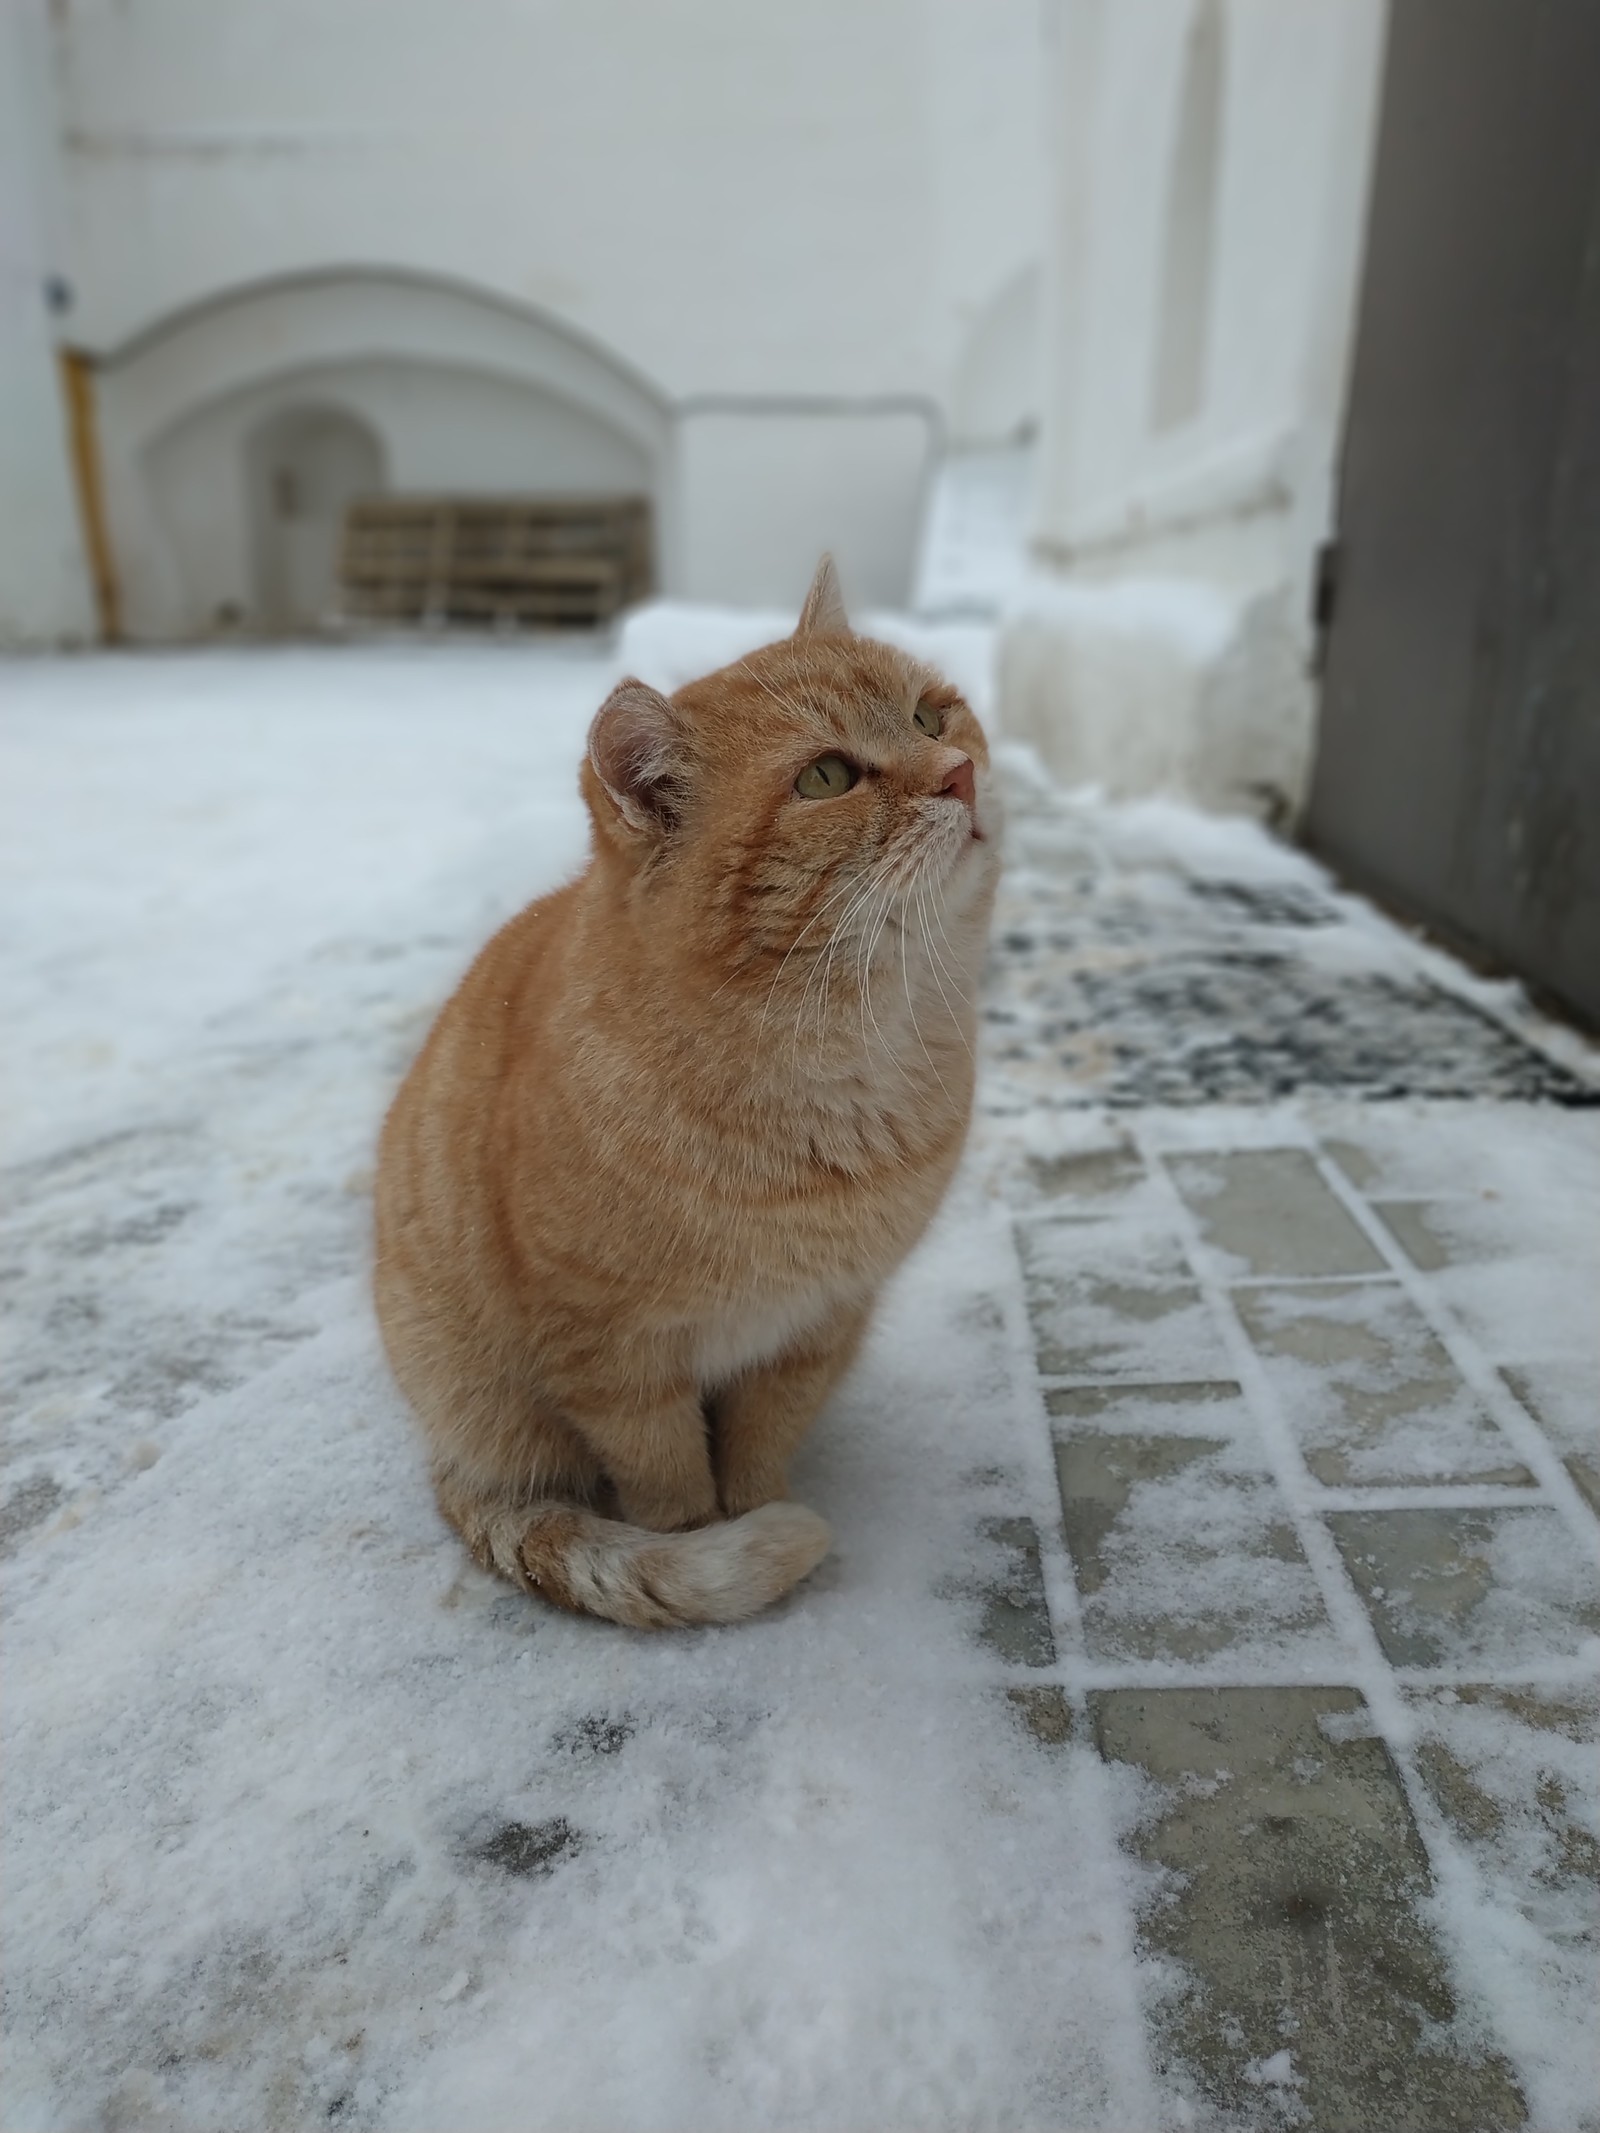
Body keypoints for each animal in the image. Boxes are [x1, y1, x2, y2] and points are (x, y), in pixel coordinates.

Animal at [375, 558, 1002, 1621]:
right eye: (827, 776)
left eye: (930, 715)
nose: (958, 771)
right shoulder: (610, 1357)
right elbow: (667, 1485)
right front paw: (706, 1542)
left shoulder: (816, 1326)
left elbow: (759, 1448)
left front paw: (754, 1506)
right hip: (489, 1406)